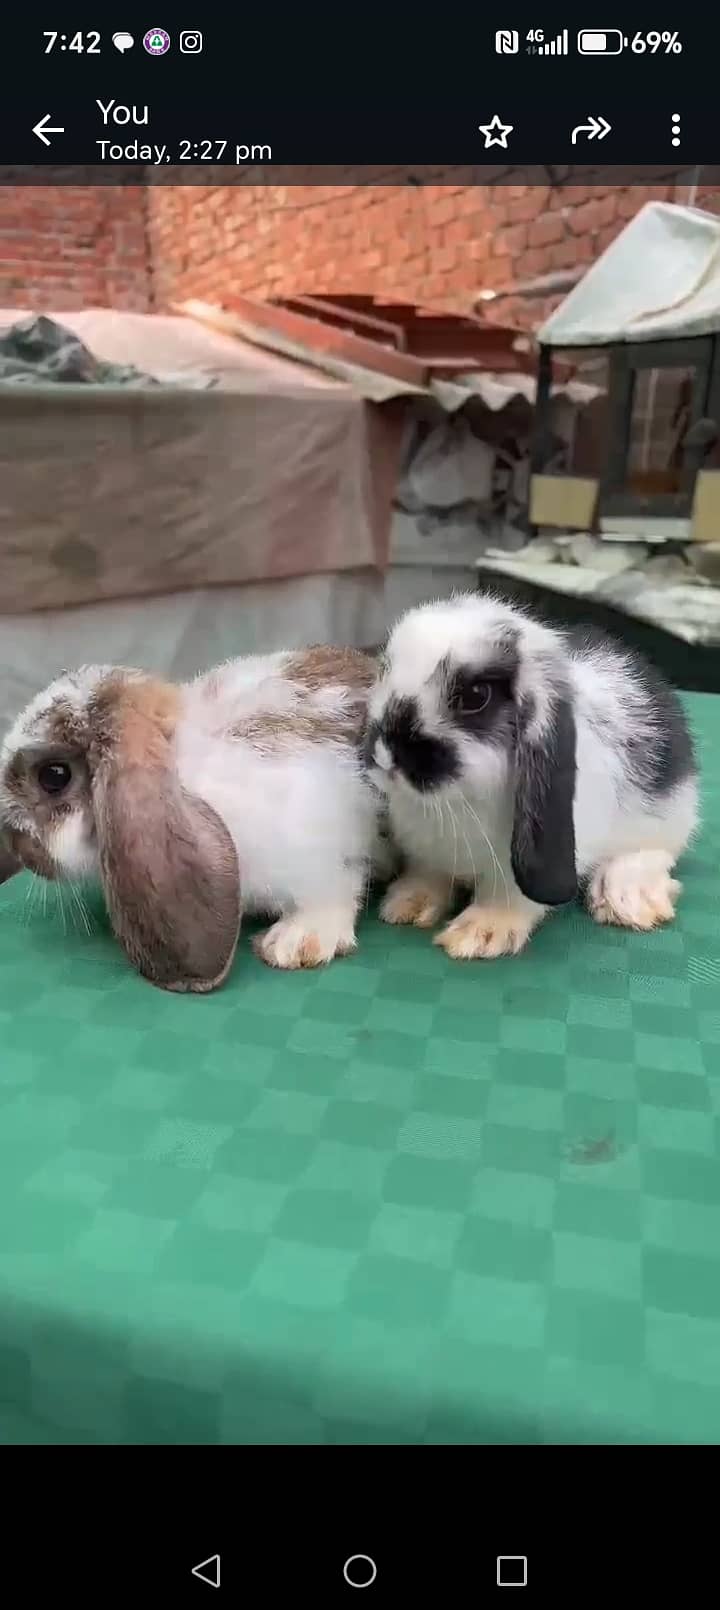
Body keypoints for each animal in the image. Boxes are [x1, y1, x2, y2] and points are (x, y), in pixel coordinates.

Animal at [363, 593, 698, 960]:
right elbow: (428, 873)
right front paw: (407, 903)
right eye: (385, 669)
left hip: (668, 818)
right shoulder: (426, 852)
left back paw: (627, 898)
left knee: (655, 853)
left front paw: (480, 934)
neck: (456, 802)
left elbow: (508, 895)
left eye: (476, 696)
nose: (384, 753)